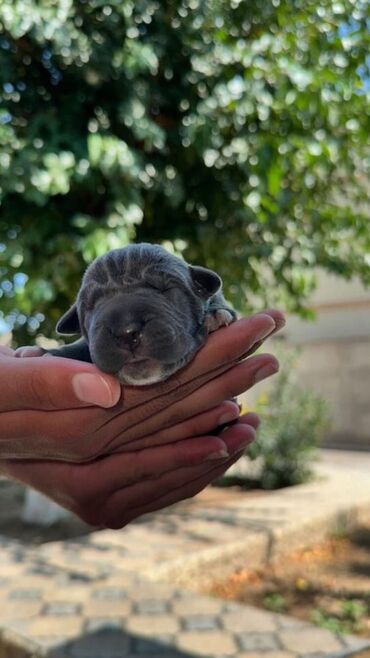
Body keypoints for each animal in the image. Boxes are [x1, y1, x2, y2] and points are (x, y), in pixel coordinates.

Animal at [15, 241, 236, 384]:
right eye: (91, 305)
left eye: (163, 288)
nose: (126, 332)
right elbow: (80, 346)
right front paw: (42, 352)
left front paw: (214, 316)